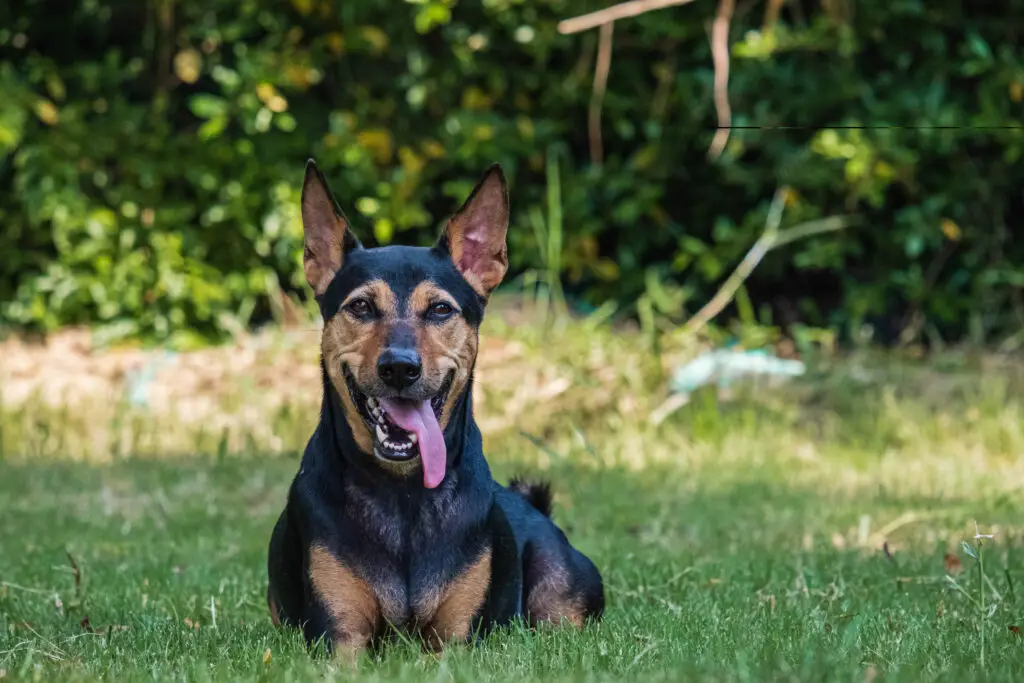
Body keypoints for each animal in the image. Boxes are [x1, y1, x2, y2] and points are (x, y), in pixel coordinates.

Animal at [268, 160, 602, 655]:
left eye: (441, 310)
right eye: (360, 306)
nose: (399, 368)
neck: (403, 492)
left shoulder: (456, 639)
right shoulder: (339, 634)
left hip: (561, 593)